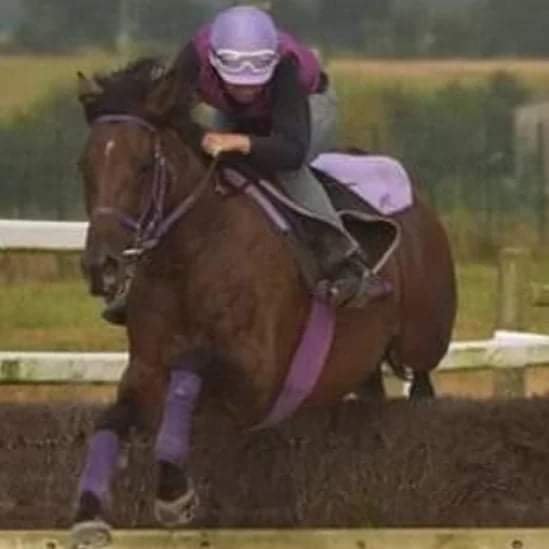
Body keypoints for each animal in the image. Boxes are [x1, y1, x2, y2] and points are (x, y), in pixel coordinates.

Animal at [72, 59, 456, 547]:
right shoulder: (144, 368)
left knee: (422, 384)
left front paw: (174, 491)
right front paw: (89, 512)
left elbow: (191, 367)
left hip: (424, 338)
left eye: (142, 166)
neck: (190, 255)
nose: (100, 267)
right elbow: (112, 418)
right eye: (84, 166)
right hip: (362, 362)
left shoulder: (257, 380)